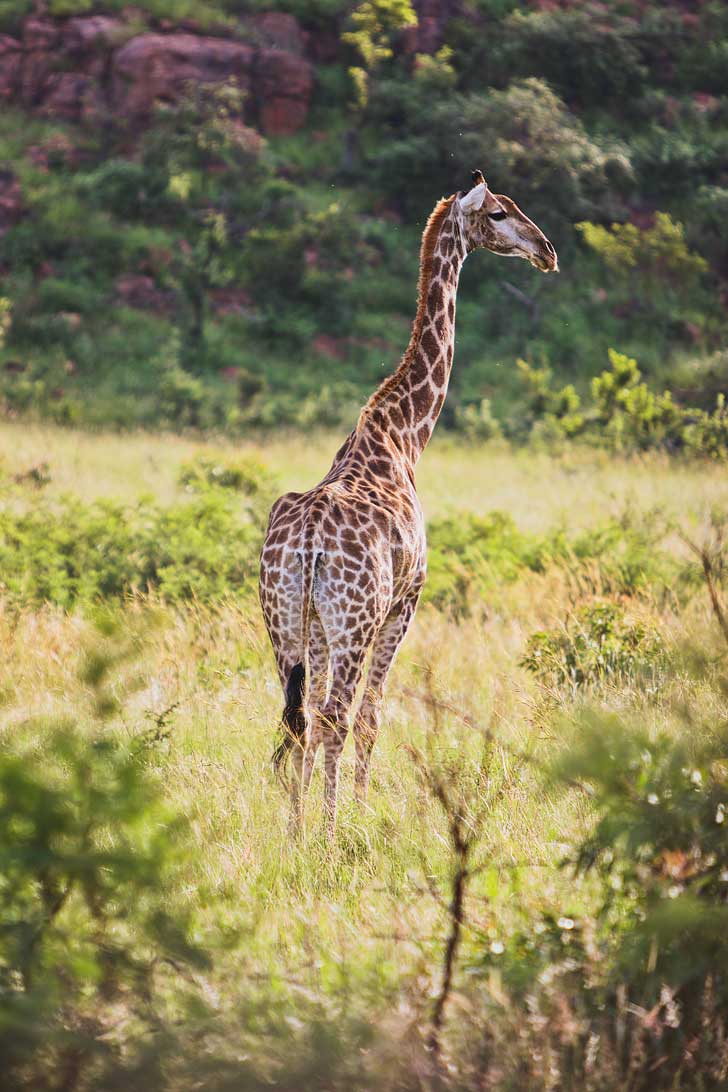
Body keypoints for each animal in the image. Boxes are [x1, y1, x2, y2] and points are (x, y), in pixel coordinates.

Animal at [257, 170, 558, 834]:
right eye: (499, 214)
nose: (547, 251)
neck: (403, 434)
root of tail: (308, 545)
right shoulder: (408, 599)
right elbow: (373, 717)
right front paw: (358, 819)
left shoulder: (318, 626)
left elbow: (318, 721)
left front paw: (307, 823)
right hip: (355, 620)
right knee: (337, 715)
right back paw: (330, 835)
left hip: (284, 621)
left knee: (298, 720)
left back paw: (293, 832)